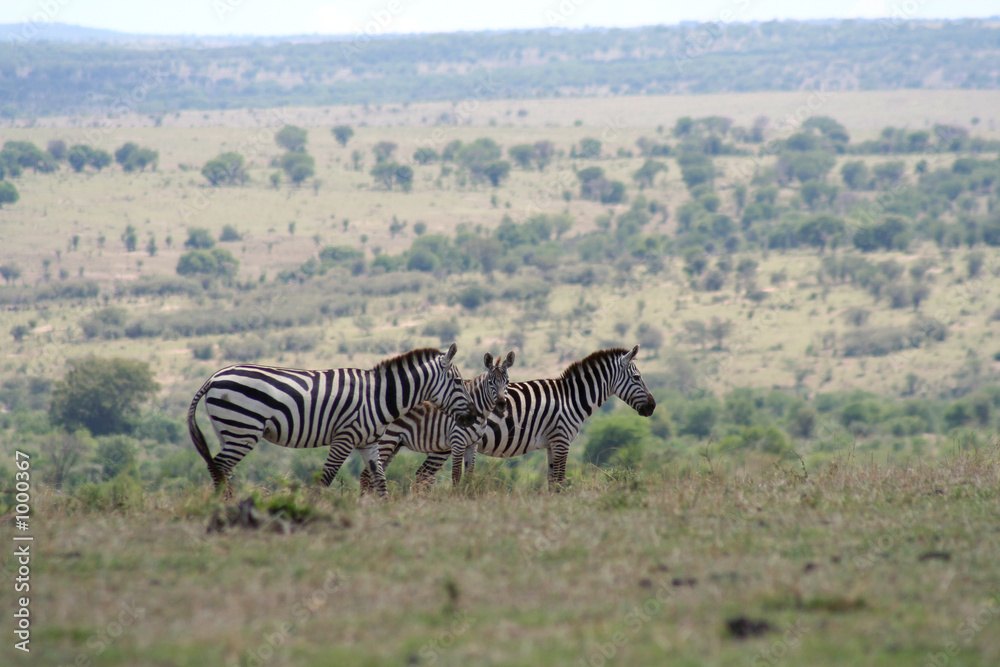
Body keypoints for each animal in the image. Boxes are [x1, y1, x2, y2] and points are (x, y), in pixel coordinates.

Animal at [186, 344, 478, 497]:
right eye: (458, 381)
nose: (474, 417)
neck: (379, 396)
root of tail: (214, 377)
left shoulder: (369, 442)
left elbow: (379, 480)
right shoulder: (344, 438)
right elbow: (325, 479)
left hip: (229, 430)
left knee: (223, 469)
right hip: (243, 430)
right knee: (219, 467)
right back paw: (222, 507)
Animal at [359, 350, 515, 493]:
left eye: (507, 382)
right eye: (490, 382)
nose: (501, 404)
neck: (480, 411)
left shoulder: (472, 444)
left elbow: (469, 475)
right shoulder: (458, 442)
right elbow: (456, 475)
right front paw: (455, 497)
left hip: (393, 444)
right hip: (386, 441)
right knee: (366, 476)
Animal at [389, 346, 655, 490]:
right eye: (637, 377)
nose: (652, 407)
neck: (571, 398)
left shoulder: (551, 444)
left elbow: (552, 482)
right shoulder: (561, 439)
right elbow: (560, 481)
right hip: (441, 445)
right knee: (421, 478)